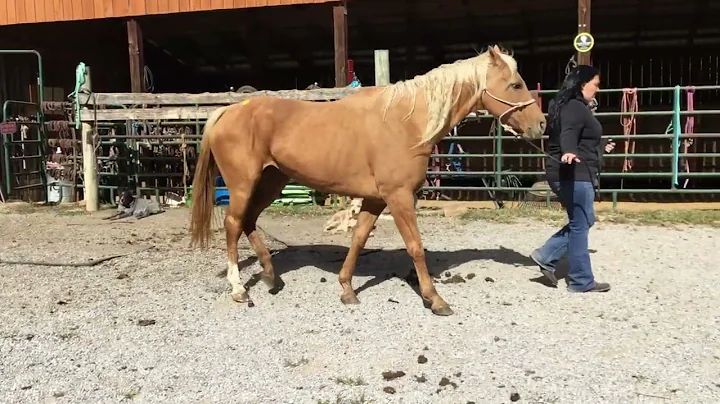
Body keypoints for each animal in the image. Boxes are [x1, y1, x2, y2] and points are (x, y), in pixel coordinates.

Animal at [189, 45, 546, 316]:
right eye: (516, 85)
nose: (541, 124)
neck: (407, 122)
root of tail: (227, 112)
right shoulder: (398, 196)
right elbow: (416, 248)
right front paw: (435, 300)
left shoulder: (376, 199)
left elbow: (358, 240)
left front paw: (347, 289)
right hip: (243, 185)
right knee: (234, 224)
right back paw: (239, 289)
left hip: (271, 181)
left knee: (249, 221)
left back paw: (269, 275)